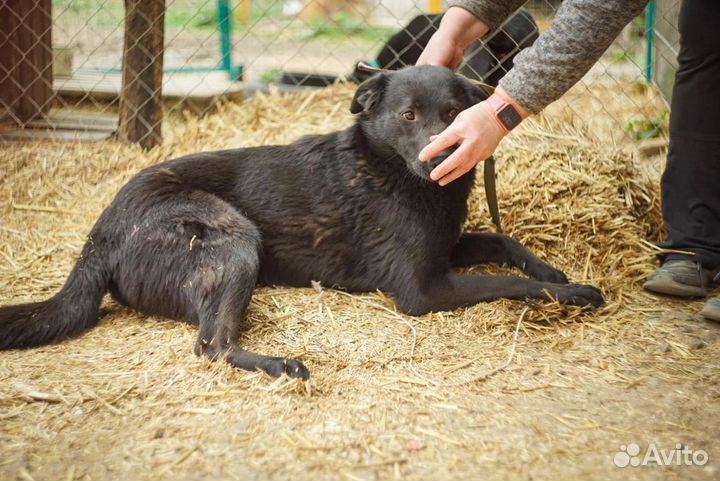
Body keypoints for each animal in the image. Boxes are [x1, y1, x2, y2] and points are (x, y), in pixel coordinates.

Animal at [0, 65, 600, 378]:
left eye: (454, 116)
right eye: (408, 115)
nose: (437, 159)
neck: (390, 167)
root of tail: (99, 231)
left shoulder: (445, 251)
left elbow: (500, 241)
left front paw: (551, 270)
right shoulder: (422, 290)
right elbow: (508, 283)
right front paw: (571, 293)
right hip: (235, 239)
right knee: (211, 347)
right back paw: (282, 365)